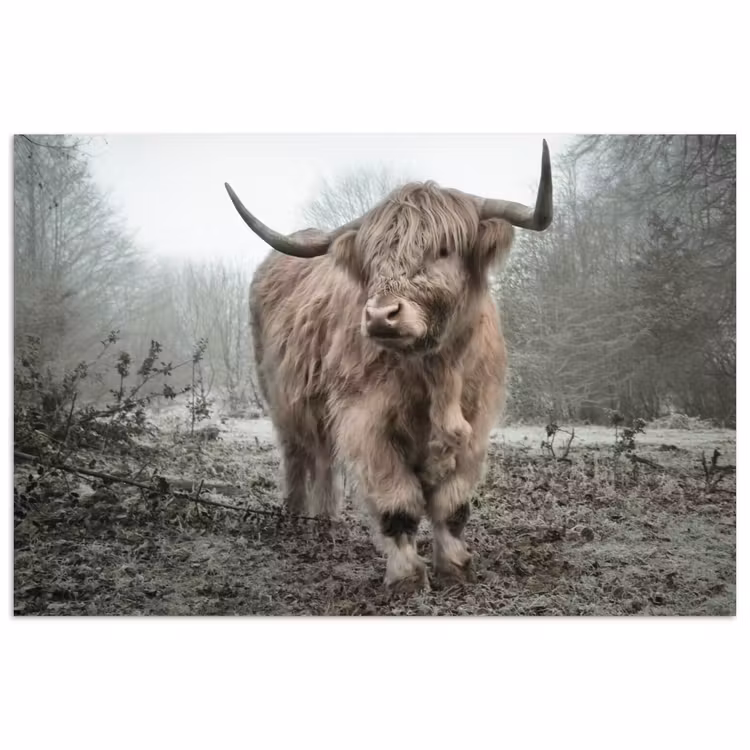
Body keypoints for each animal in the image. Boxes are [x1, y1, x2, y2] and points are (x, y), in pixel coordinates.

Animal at [225, 141, 553, 594]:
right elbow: (398, 504)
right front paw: (407, 577)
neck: (436, 372)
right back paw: (295, 519)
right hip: (281, 399)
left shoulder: (476, 423)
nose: (381, 316)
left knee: (324, 459)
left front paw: (455, 567)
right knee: (297, 456)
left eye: (443, 250)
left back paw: (325, 522)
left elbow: (453, 506)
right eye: (373, 258)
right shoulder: (366, 422)